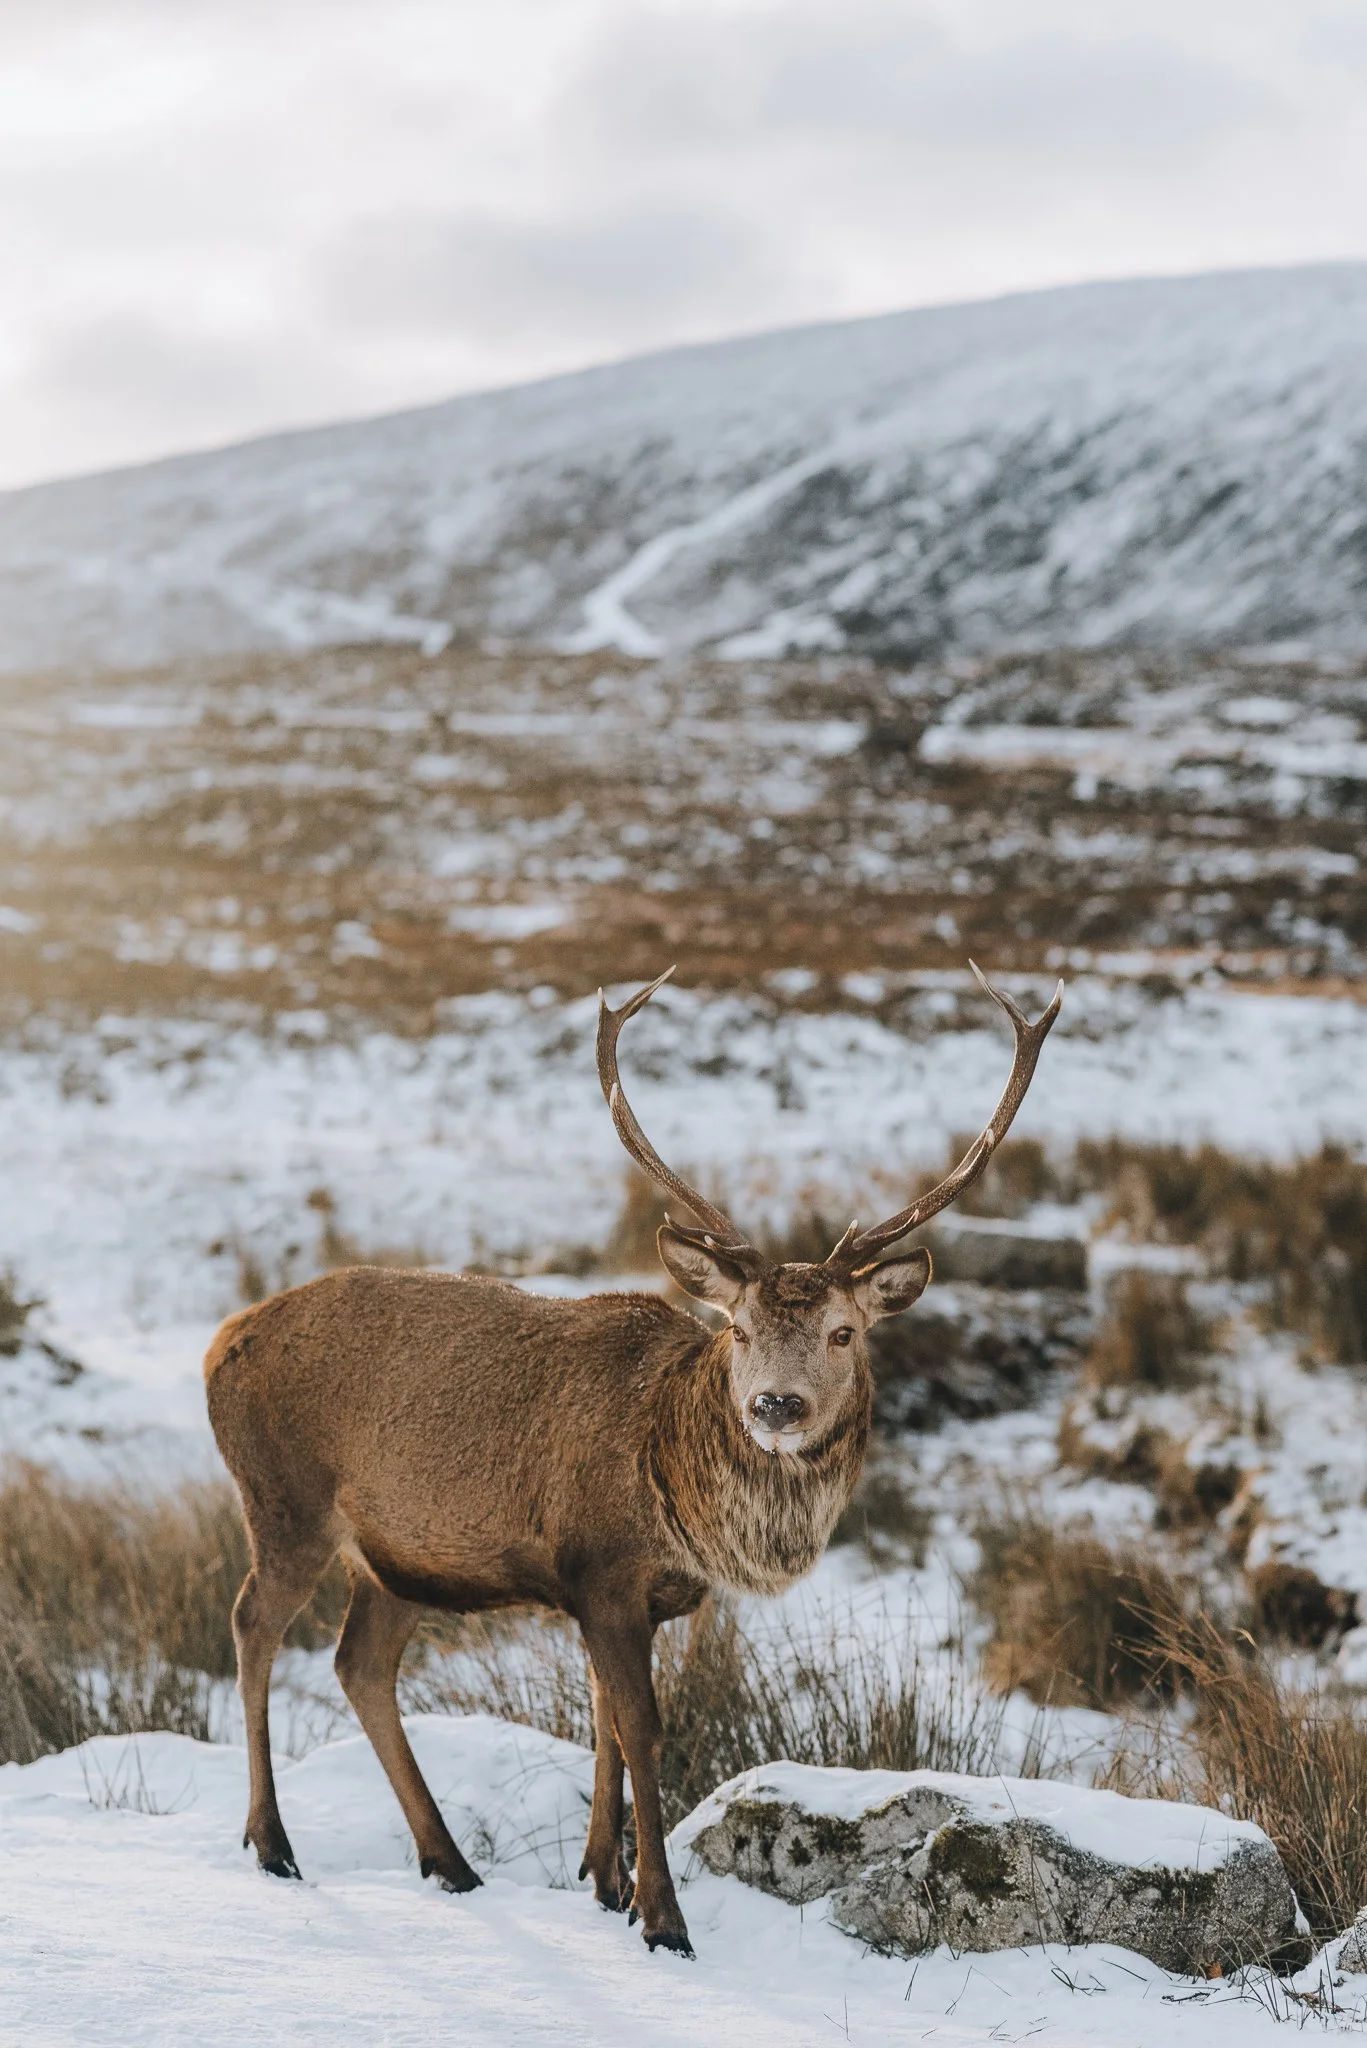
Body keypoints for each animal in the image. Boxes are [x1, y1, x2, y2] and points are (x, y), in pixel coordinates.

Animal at [205, 962, 1061, 1956]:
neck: (683, 1505)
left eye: (844, 1332)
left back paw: (448, 1861)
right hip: (282, 1500)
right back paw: (273, 1843)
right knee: (253, 1625)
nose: (776, 1405)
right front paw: (661, 1918)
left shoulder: (631, 1598)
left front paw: (602, 1881)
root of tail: (221, 1339)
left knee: (358, 1663)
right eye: (738, 1328)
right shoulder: (600, 1569)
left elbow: (606, 1722)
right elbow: (645, 1729)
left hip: (396, 1555)